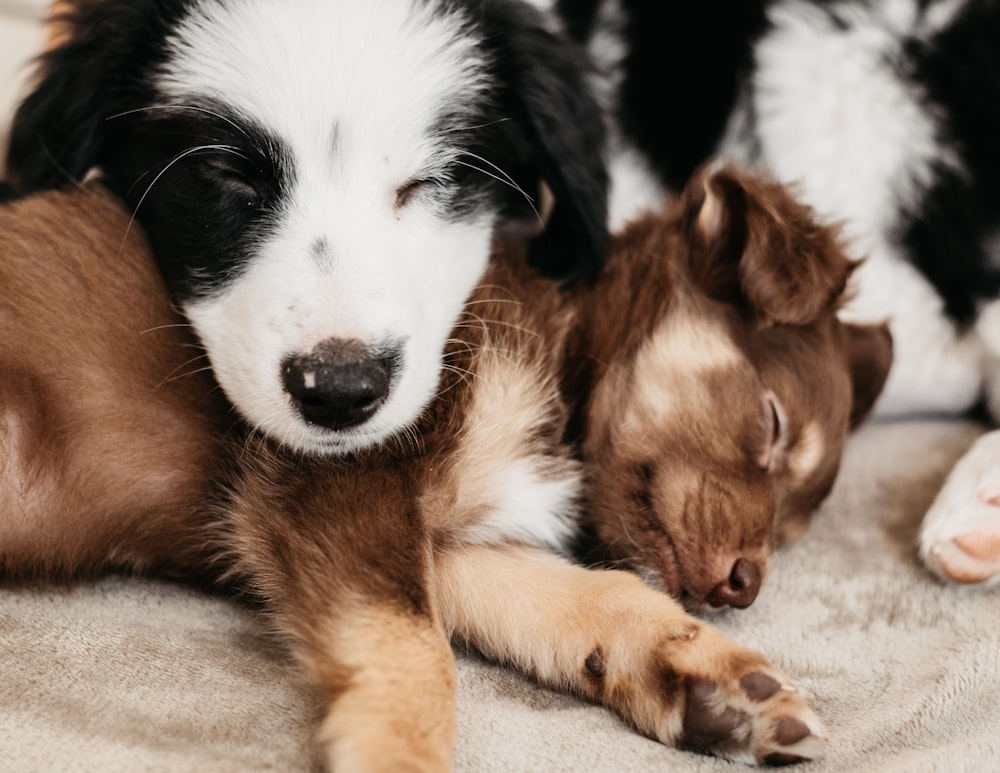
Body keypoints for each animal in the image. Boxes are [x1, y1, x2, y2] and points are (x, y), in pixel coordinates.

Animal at [0, 167, 892, 764]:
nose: (747, 585)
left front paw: (703, 676)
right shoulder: (339, 475)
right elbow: (416, 654)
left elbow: (585, 592)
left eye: (797, 523)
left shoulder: (445, 541)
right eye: (771, 425)